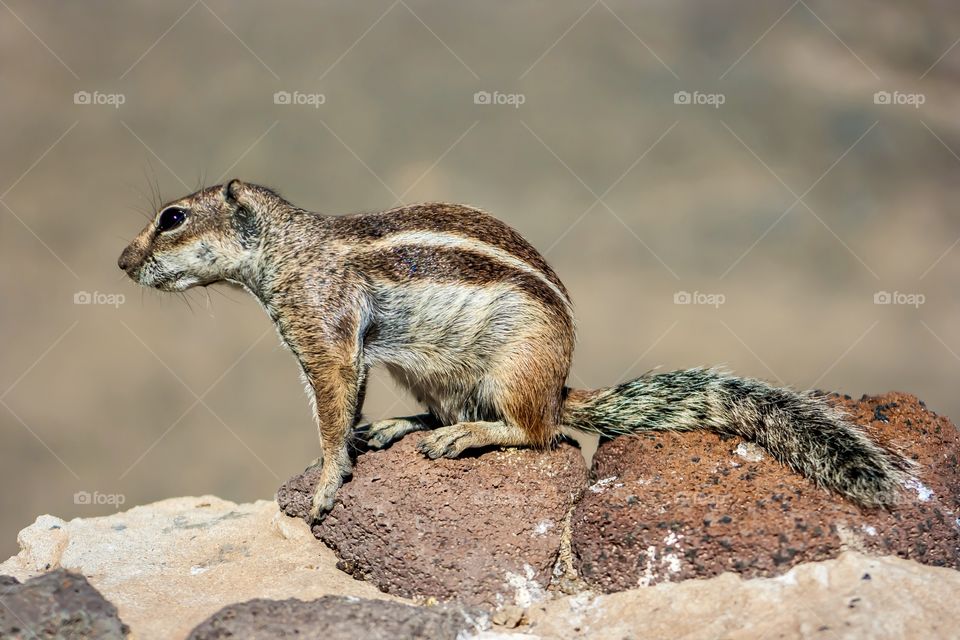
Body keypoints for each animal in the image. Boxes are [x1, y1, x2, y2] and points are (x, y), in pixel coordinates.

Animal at [118, 180, 908, 522]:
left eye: (172, 218)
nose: (122, 262)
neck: (288, 251)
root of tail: (560, 381)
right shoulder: (340, 347)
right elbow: (346, 409)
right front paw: (348, 452)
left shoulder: (326, 338)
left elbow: (333, 414)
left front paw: (323, 487)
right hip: (429, 371)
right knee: (454, 412)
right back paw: (406, 427)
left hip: (514, 367)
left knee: (537, 432)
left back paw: (470, 436)